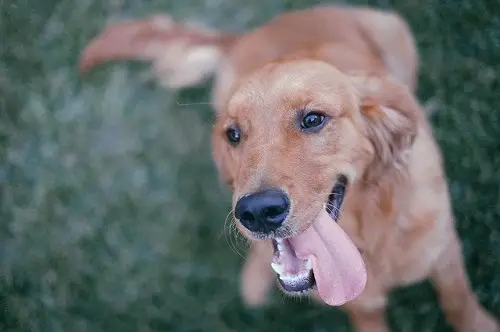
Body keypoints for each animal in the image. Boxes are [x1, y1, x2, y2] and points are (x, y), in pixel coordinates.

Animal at [80, 3, 498, 332]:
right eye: (233, 134)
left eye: (313, 119)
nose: (257, 212)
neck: (368, 232)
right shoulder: (359, 303)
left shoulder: (445, 254)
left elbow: (458, 302)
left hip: (392, 28)